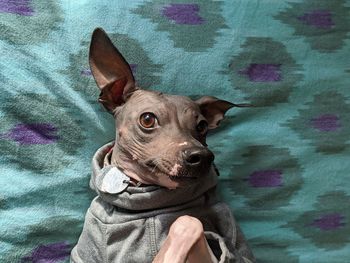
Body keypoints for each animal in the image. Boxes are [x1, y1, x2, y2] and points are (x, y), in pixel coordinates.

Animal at [70, 28, 254, 263]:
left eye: (202, 126)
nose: (202, 156)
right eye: (147, 119)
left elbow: (187, 222)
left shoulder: (234, 244)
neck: (149, 203)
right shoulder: (85, 252)